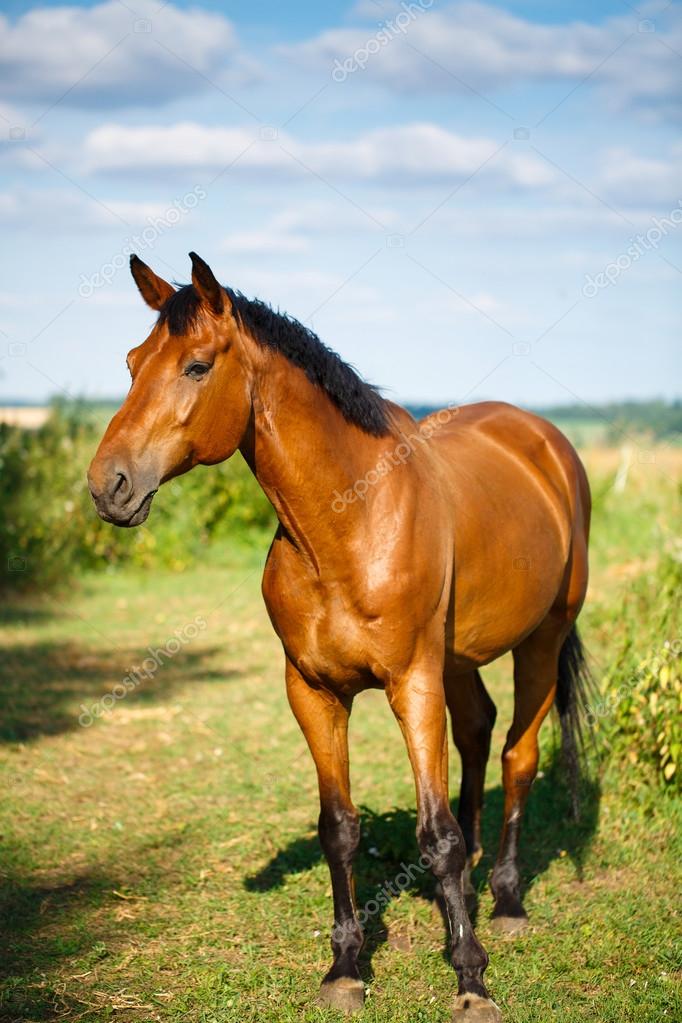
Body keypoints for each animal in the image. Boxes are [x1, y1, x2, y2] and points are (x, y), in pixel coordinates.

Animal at [89, 251, 593, 1018]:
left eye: (197, 366)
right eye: (131, 362)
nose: (107, 485)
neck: (350, 520)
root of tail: (545, 442)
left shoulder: (411, 684)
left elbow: (436, 835)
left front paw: (471, 978)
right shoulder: (314, 690)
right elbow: (340, 828)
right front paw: (347, 967)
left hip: (539, 640)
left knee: (517, 754)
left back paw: (506, 901)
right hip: (457, 660)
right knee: (478, 732)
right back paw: (478, 882)